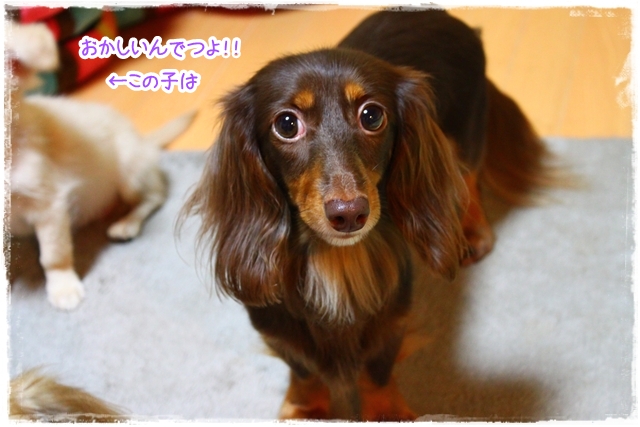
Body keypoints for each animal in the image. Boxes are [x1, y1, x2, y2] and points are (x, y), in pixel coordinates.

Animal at [6, 22, 195, 310]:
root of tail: (143, 140)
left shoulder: (49, 205)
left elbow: (54, 255)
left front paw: (63, 287)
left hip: (129, 173)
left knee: (154, 197)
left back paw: (126, 224)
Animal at [183, 9, 555, 421]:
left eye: (372, 115)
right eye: (286, 124)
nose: (349, 214)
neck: (334, 259)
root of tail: (446, 16)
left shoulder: (392, 314)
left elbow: (378, 368)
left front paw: (385, 411)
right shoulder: (276, 323)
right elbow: (303, 369)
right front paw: (306, 407)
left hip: (466, 136)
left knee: (467, 179)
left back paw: (472, 231)